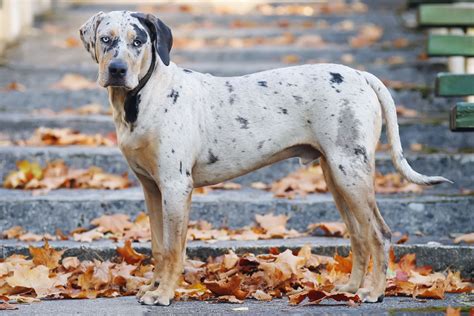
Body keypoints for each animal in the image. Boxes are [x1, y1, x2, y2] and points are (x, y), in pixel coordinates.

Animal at [79, 11, 450, 304]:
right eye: (106, 39)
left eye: (138, 41)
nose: (116, 69)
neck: (142, 99)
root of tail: (362, 76)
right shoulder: (152, 189)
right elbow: (158, 246)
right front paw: (153, 287)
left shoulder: (175, 187)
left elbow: (173, 249)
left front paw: (164, 294)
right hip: (336, 175)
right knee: (359, 235)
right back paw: (350, 288)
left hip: (351, 173)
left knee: (379, 234)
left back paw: (374, 292)